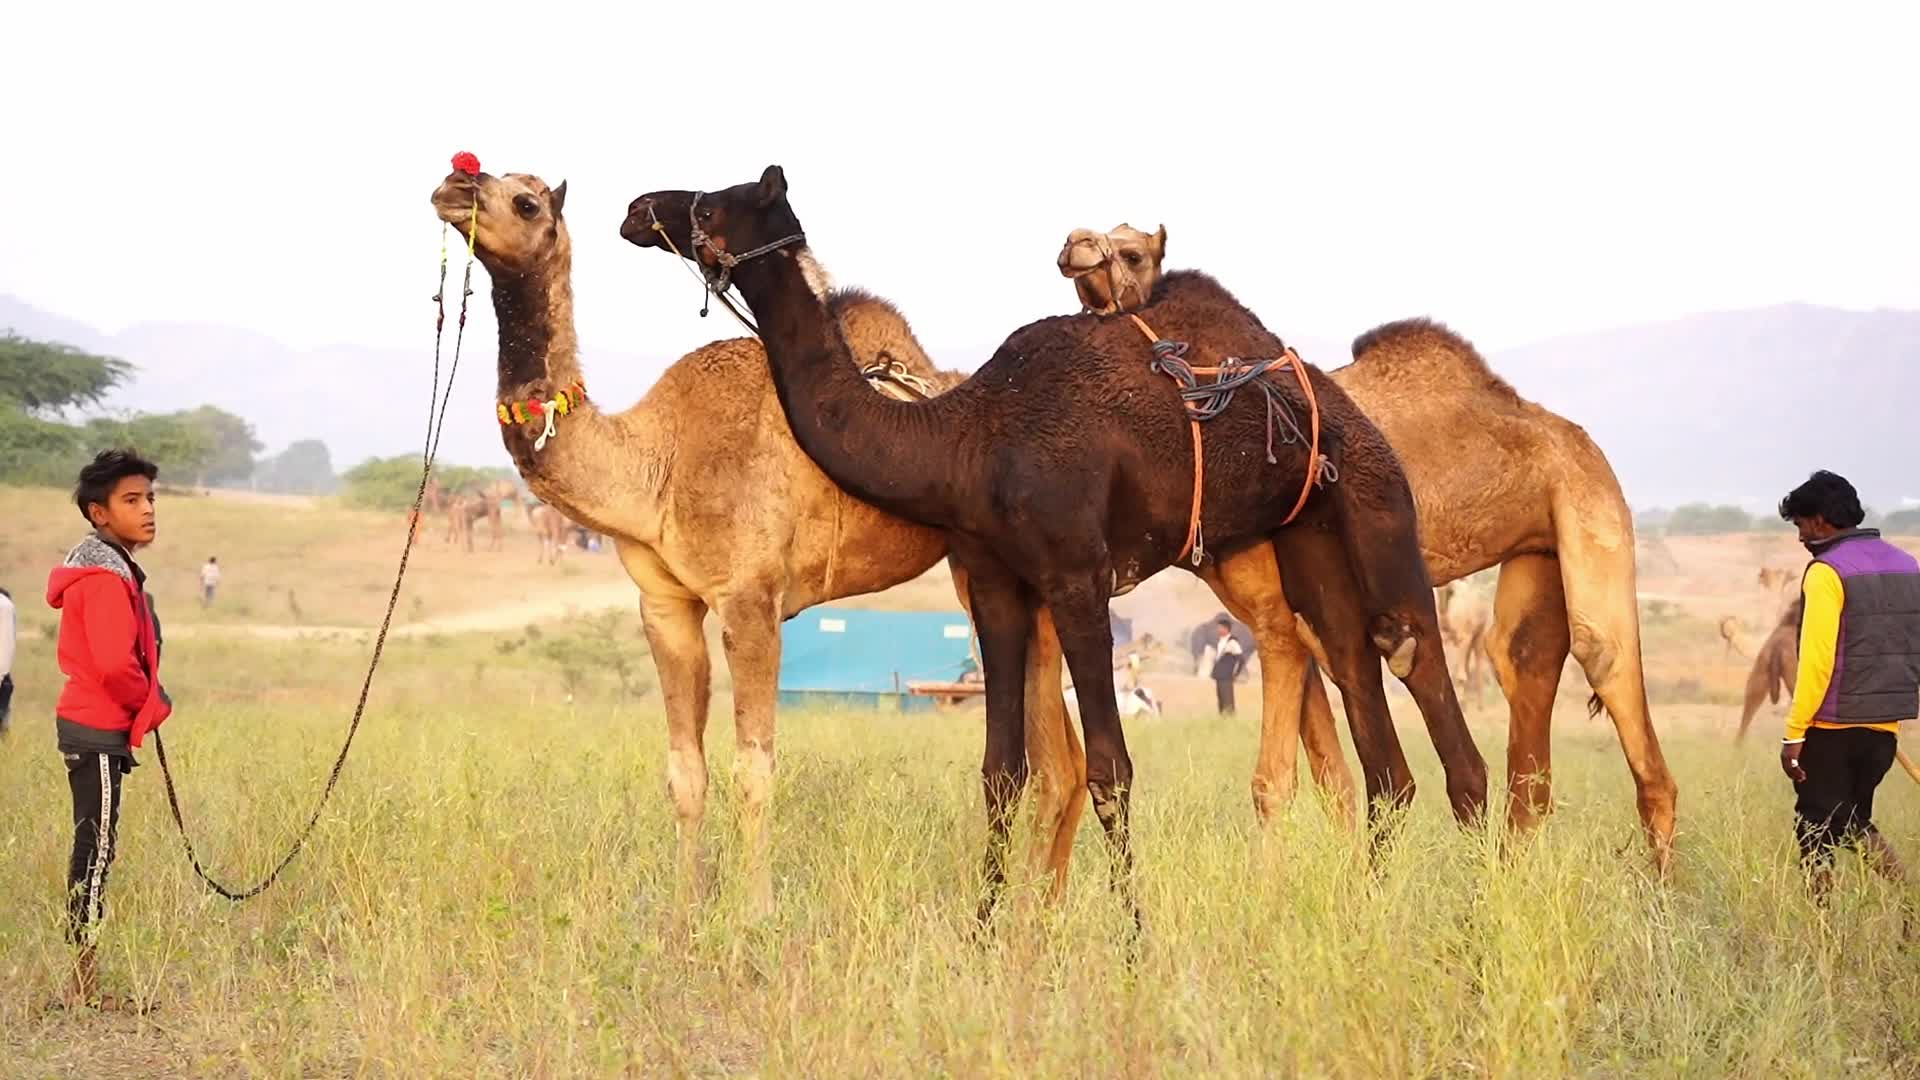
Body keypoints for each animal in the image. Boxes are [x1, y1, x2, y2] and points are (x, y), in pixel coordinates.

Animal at [431, 165, 1094, 917]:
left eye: (526, 200)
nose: (454, 184)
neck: (657, 459)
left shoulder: (751, 598)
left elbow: (754, 767)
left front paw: (756, 913)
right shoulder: (664, 603)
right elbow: (685, 772)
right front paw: (685, 911)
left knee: (1059, 764)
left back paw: (1034, 916)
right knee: (1067, 762)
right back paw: (1046, 910)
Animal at [624, 166, 1488, 922]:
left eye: (714, 201)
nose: (637, 209)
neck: (964, 440)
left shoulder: (1078, 578)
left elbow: (1111, 768)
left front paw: (1135, 940)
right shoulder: (997, 583)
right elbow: (1001, 771)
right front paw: (981, 933)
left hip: (1379, 506)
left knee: (1423, 672)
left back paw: (1479, 917)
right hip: (1306, 537)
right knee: (1372, 716)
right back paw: (1366, 913)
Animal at [1057, 223, 1678, 867]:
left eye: (1133, 252)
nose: (1075, 246)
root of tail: (1570, 435)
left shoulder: (1282, 609)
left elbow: (1307, 774)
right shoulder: (1279, 616)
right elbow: (1324, 778)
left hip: (1590, 504)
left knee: (1605, 664)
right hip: (1538, 554)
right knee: (1523, 678)